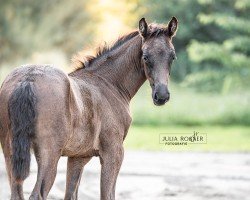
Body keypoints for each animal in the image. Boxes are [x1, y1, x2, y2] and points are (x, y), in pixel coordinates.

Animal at [0, 16, 178, 199]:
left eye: (172, 56)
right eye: (145, 56)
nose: (161, 95)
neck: (109, 83)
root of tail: (28, 79)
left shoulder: (78, 157)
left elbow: (71, 193)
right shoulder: (113, 153)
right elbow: (107, 194)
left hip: (10, 153)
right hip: (49, 154)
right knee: (37, 194)